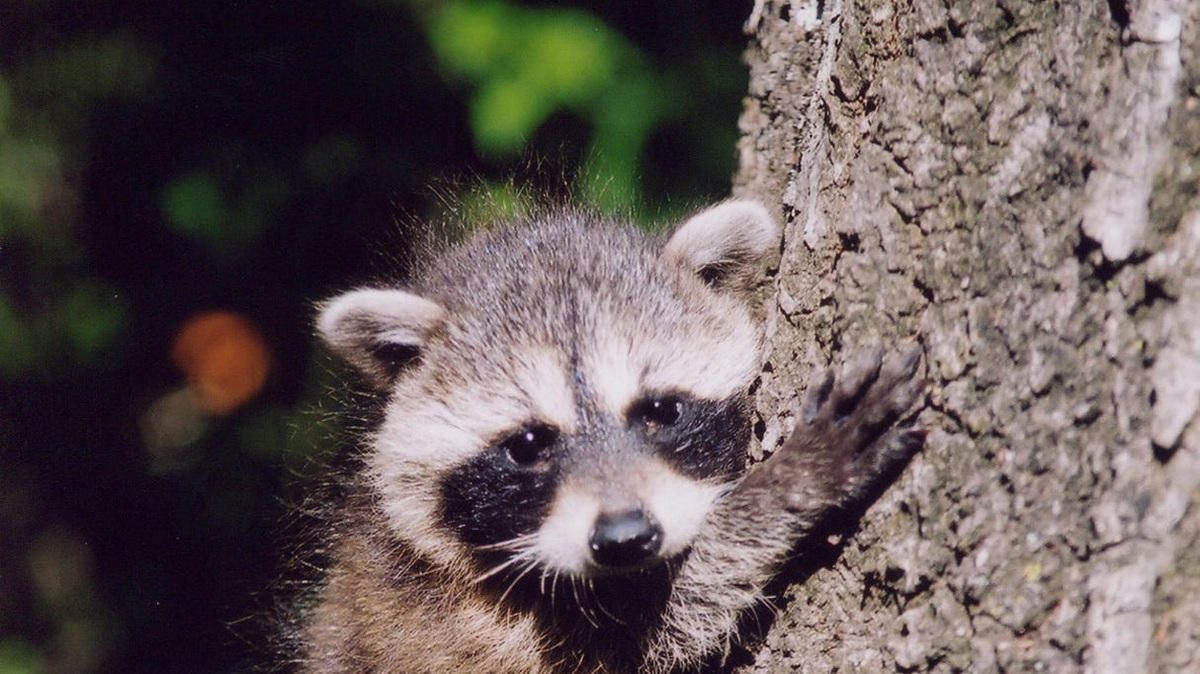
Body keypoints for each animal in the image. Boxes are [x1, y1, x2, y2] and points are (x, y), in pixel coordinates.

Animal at [297, 200, 925, 674]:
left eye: (661, 411)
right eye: (528, 445)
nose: (626, 539)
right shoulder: (469, 627)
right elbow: (673, 615)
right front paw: (794, 479)